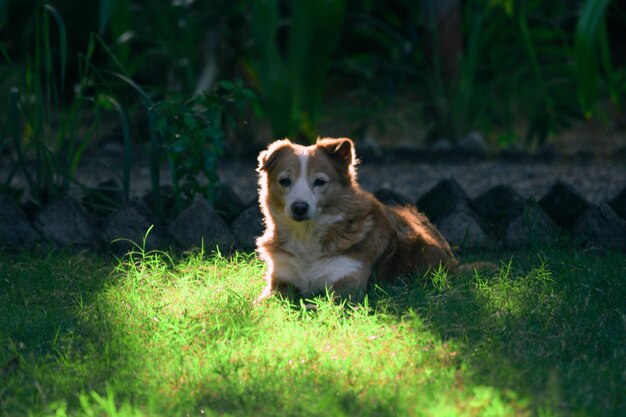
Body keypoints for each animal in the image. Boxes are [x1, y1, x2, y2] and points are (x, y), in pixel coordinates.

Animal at [254, 138, 458, 300]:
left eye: (320, 181)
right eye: (284, 181)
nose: (299, 208)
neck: (306, 236)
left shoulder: (348, 287)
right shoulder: (279, 282)